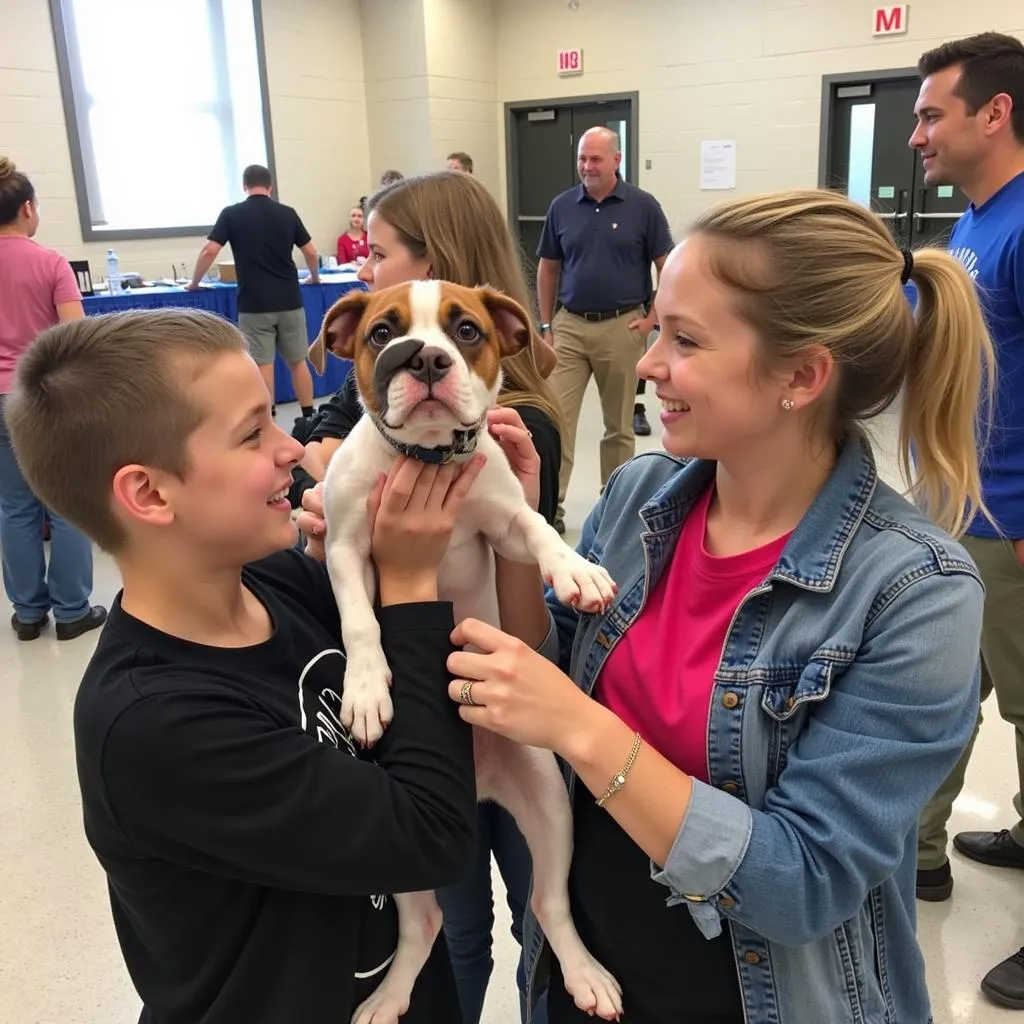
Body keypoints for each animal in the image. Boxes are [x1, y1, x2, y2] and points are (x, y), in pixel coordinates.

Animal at [307, 280, 618, 1024]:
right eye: (382, 331)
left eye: (468, 331)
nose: (422, 358)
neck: (422, 459)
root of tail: (477, 784)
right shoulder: (345, 549)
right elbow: (361, 624)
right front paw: (367, 690)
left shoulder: (505, 523)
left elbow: (541, 530)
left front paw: (576, 571)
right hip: (394, 842)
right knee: (424, 924)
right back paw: (389, 997)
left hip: (550, 805)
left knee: (550, 905)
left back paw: (585, 974)